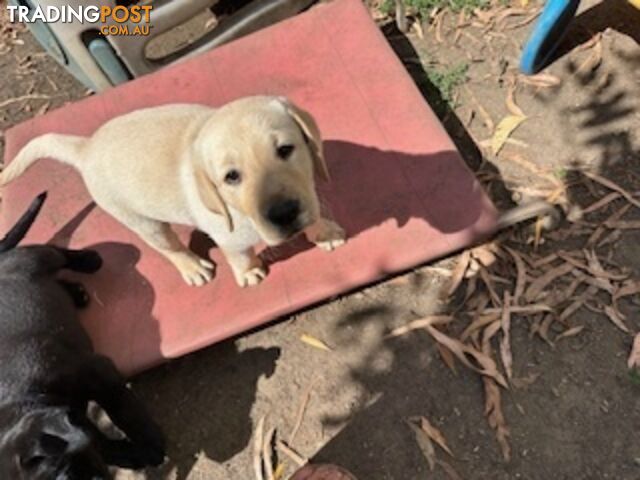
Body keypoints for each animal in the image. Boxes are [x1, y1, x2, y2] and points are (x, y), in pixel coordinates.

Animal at [0, 192, 168, 480]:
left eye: (63, 476)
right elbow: (100, 442)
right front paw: (136, 454)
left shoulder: (99, 371)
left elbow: (124, 412)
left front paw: (151, 444)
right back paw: (76, 293)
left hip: (35, 257)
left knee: (56, 252)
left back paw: (89, 259)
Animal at [2, 95, 344, 286]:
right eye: (231, 177)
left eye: (286, 149)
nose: (285, 214)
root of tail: (86, 148)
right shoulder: (229, 235)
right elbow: (239, 254)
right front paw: (248, 273)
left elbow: (314, 209)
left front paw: (324, 231)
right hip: (142, 221)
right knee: (168, 247)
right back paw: (193, 267)